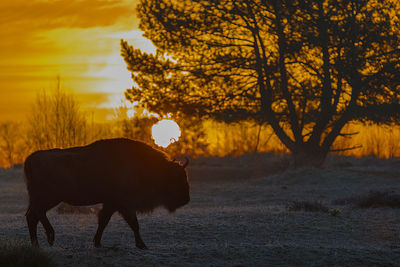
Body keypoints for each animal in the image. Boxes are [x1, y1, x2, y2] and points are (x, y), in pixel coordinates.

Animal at [23, 139, 191, 250]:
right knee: (37, 214)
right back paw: (50, 237)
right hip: (49, 198)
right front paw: (142, 245)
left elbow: (104, 221)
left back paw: (36, 244)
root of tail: (30, 159)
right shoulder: (122, 204)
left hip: (40, 199)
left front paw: (97, 242)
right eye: (176, 178)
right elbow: (133, 223)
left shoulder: (112, 204)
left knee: (32, 216)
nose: (186, 199)